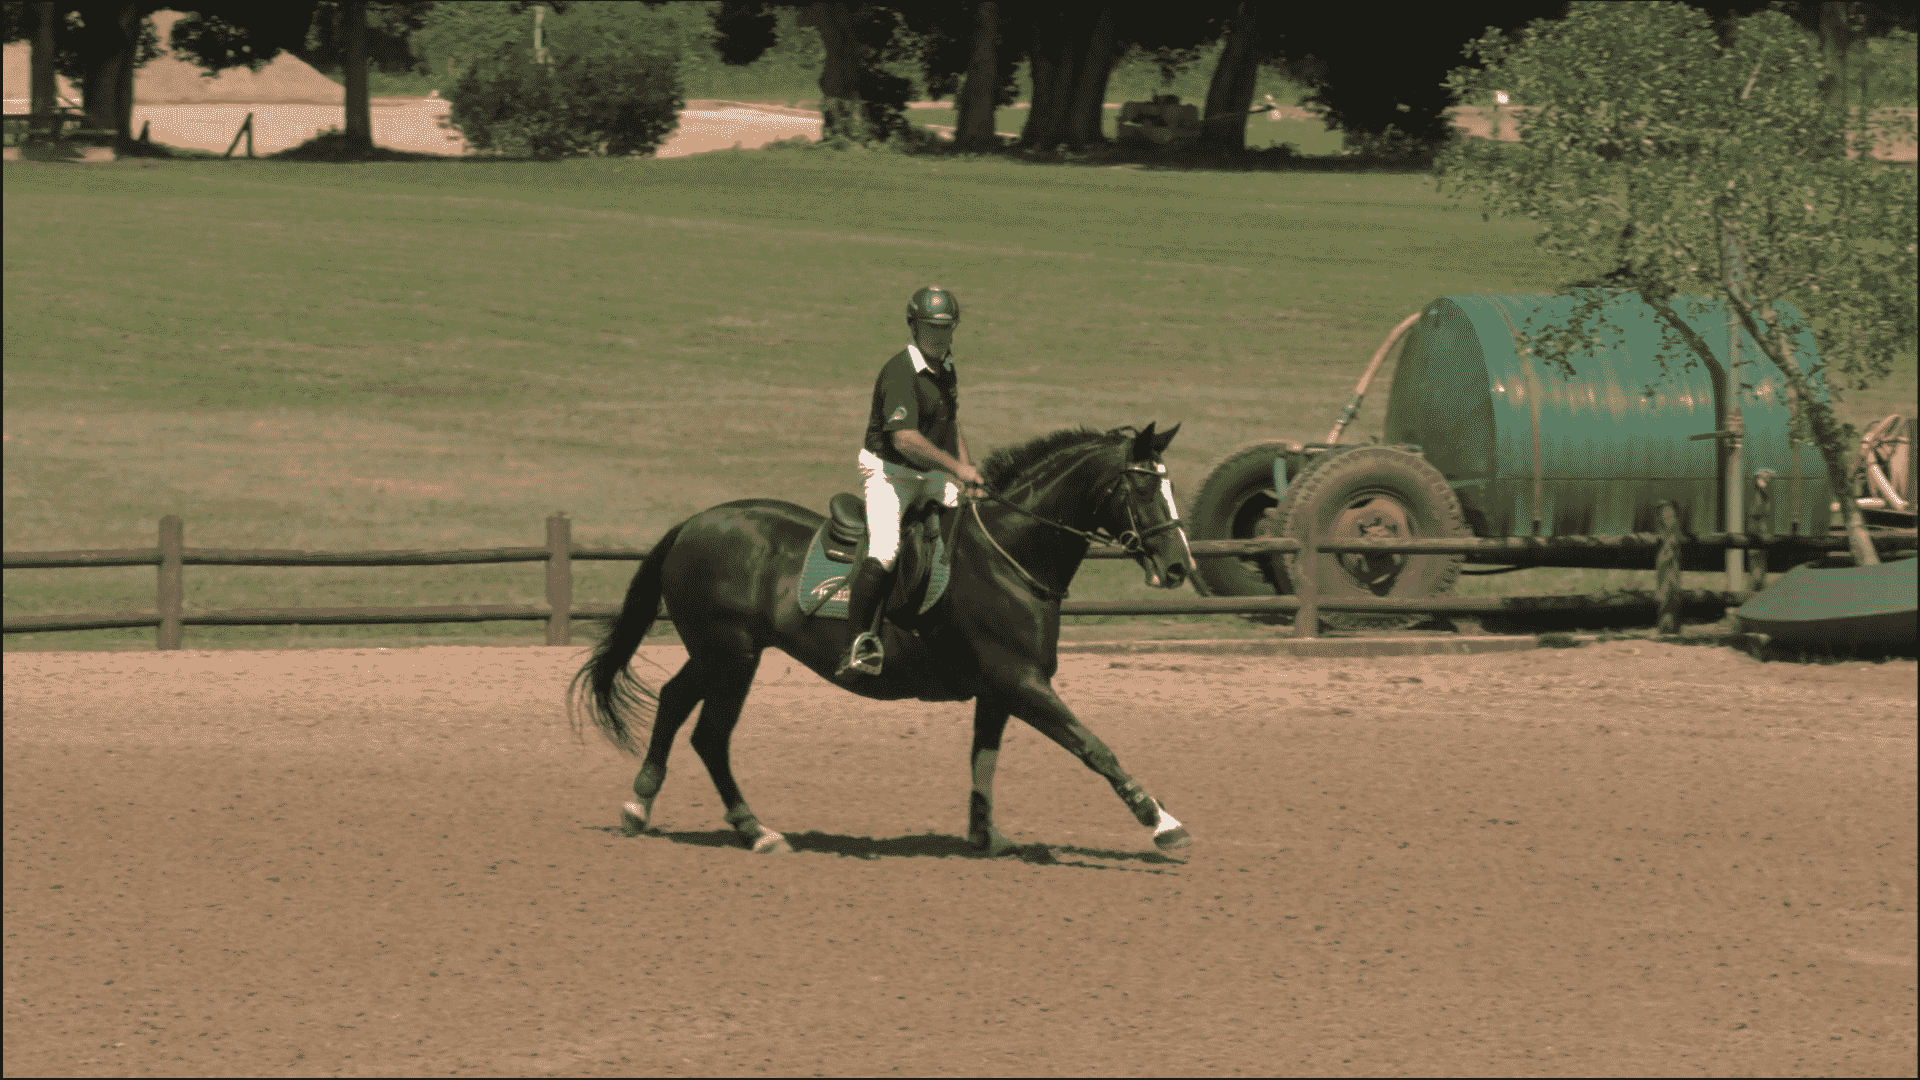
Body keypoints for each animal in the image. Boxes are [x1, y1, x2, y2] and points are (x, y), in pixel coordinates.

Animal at [570, 422, 1197, 856]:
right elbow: (1095, 747)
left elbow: (984, 759)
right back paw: (754, 830)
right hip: (731, 655)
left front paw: (984, 836)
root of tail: (695, 522)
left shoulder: (1001, 689)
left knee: (676, 705)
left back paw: (642, 806)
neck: (1008, 554)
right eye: (1142, 488)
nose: (1179, 567)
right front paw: (1163, 823)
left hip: (716, 655)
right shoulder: (1022, 681)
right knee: (709, 735)